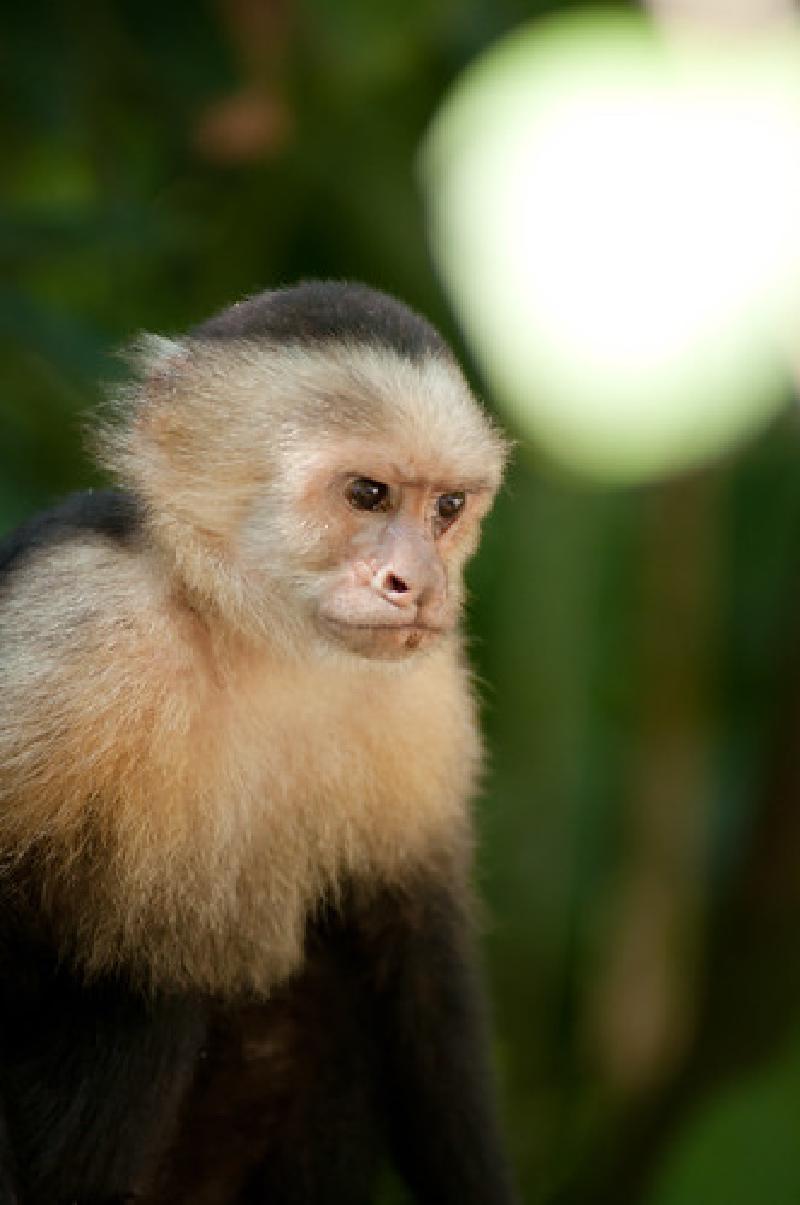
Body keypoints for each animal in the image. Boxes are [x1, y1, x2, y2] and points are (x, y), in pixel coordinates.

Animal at [0, 281, 519, 1205]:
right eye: (367, 494)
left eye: (448, 508)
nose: (418, 584)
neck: (255, 636)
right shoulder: (73, 623)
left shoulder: (423, 690)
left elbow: (419, 950)